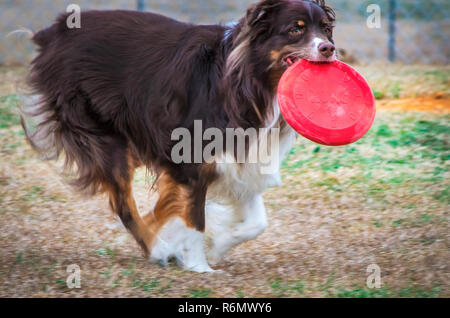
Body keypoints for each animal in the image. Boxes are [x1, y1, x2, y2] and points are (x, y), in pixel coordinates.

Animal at [22, 0, 336, 274]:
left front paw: (217, 245)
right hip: (103, 137)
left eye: (325, 28)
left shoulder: (239, 159)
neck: (249, 80)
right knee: (124, 205)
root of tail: (54, 32)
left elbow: (257, 222)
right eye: (295, 29)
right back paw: (156, 249)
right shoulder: (191, 160)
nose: (329, 48)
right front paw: (200, 265)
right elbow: (194, 219)